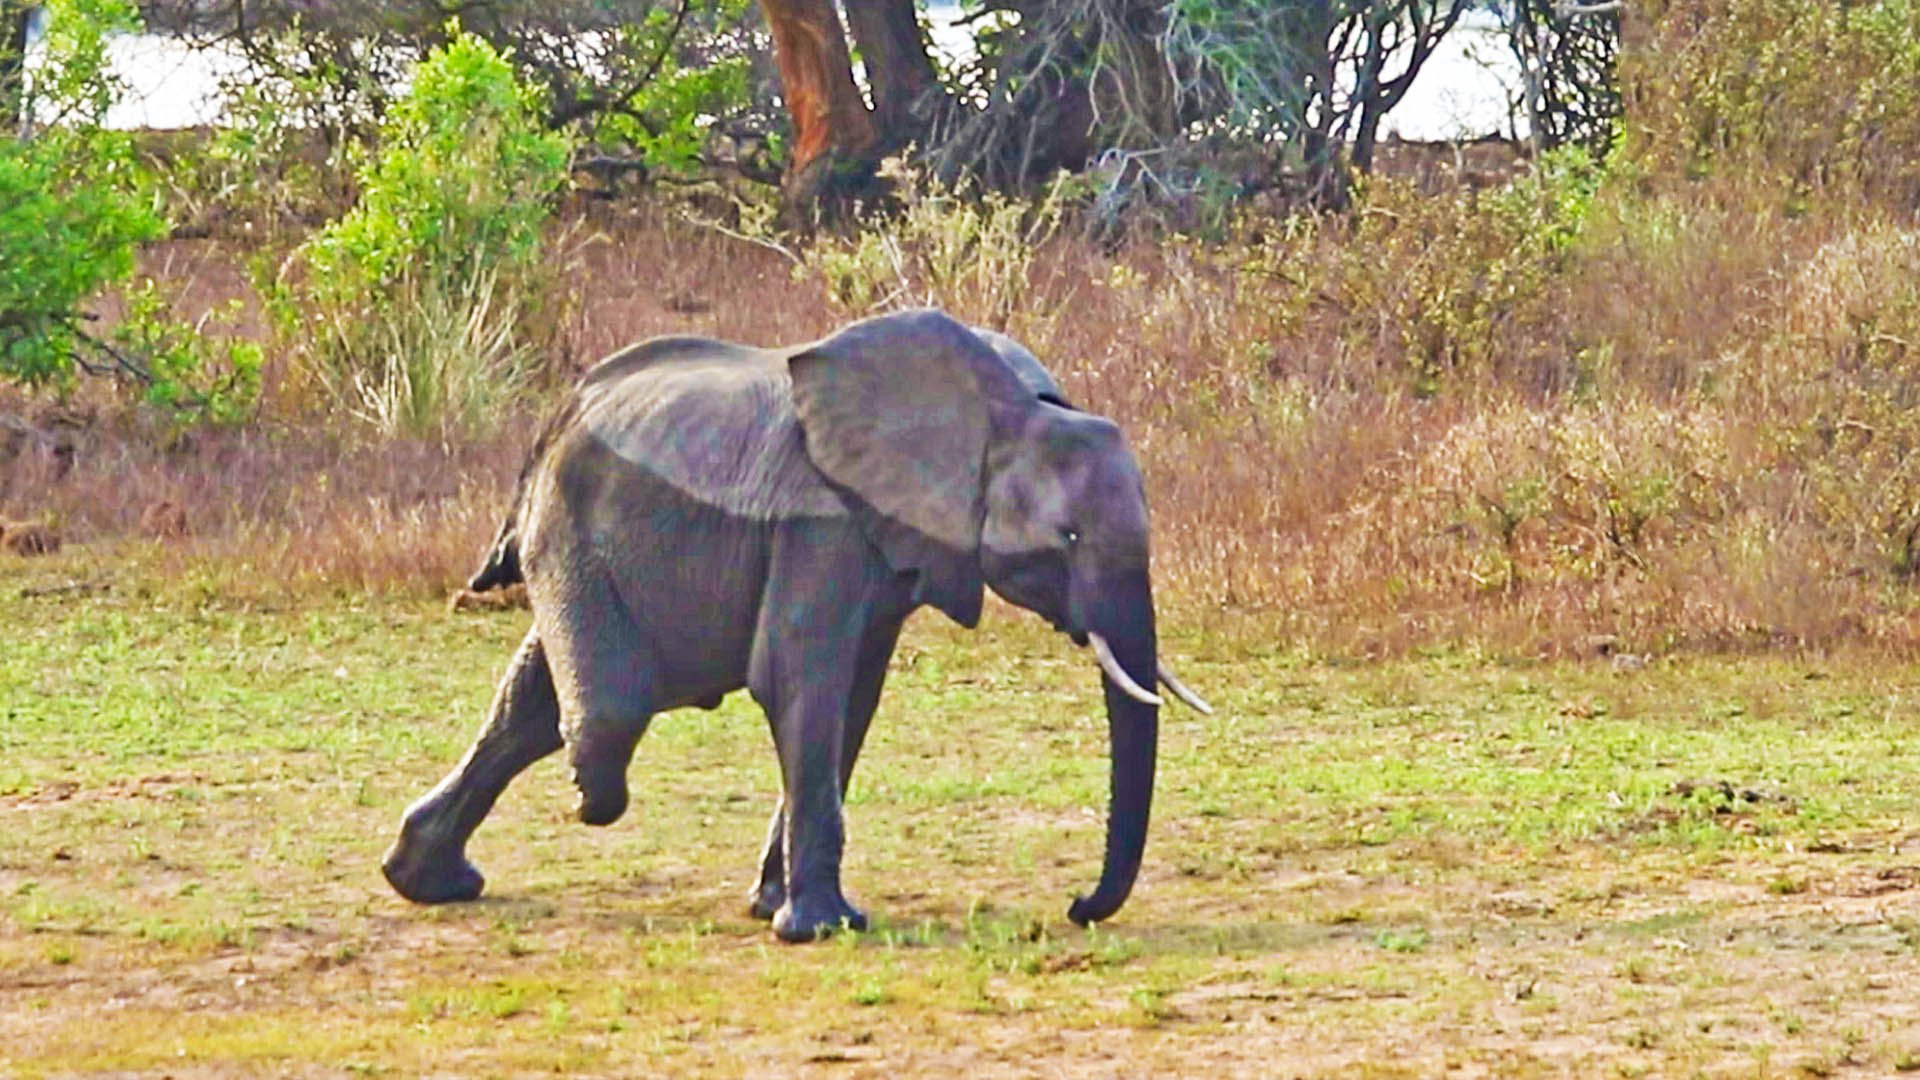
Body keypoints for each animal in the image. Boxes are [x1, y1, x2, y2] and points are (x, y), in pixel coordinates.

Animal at [381, 308, 1210, 942]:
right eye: (1068, 537)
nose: (1076, 906)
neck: (1005, 413)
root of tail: (551, 423)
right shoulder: (821, 526)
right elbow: (801, 683)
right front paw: (822, 928)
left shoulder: (887, 541)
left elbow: (854, 700)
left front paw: (773, 907)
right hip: (571, 528)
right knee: (603, 711)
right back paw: (582, 799)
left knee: (528, 708)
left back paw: (428, 880)